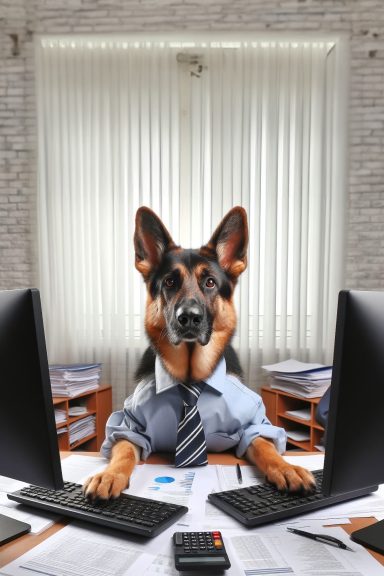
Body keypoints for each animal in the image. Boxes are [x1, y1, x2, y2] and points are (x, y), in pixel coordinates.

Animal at [84, 207, 316, 500]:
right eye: (170, 281)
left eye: (210, 282)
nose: (189, 318)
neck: (190, 377)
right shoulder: (127, 425)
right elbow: (124, 448)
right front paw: (109, 474)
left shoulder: (254, 424)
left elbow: (265, 443)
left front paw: (286, 468)